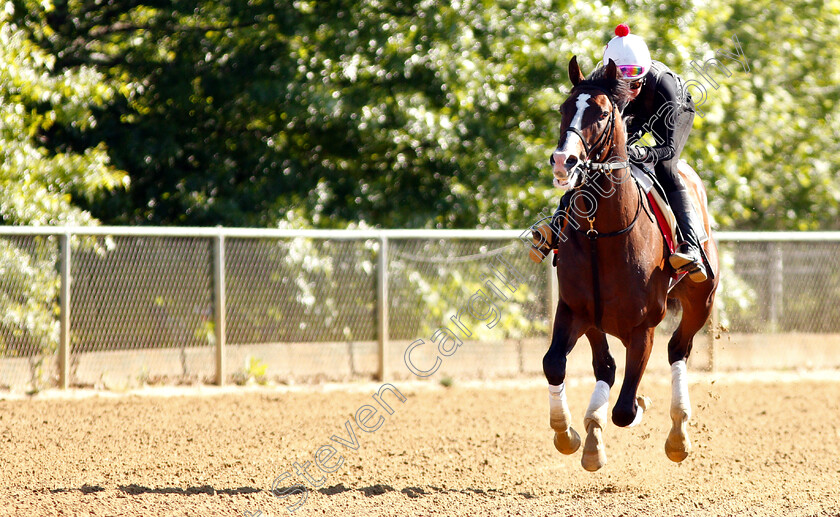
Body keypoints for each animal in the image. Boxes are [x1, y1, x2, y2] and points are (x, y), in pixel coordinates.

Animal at [544, 57, 720, 472]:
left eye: (602, 113)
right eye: (563, 107)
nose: (563, 161)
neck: (601, 234)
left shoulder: (644, 327)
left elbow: (625, 409)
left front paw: (638, 403)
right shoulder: (575, 310)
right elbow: (555, 363)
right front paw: (569, 434)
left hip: (701, 301)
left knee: (678, 350)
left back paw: (678, 435)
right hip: (597, 321)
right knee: (606, 366)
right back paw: (593, 435)